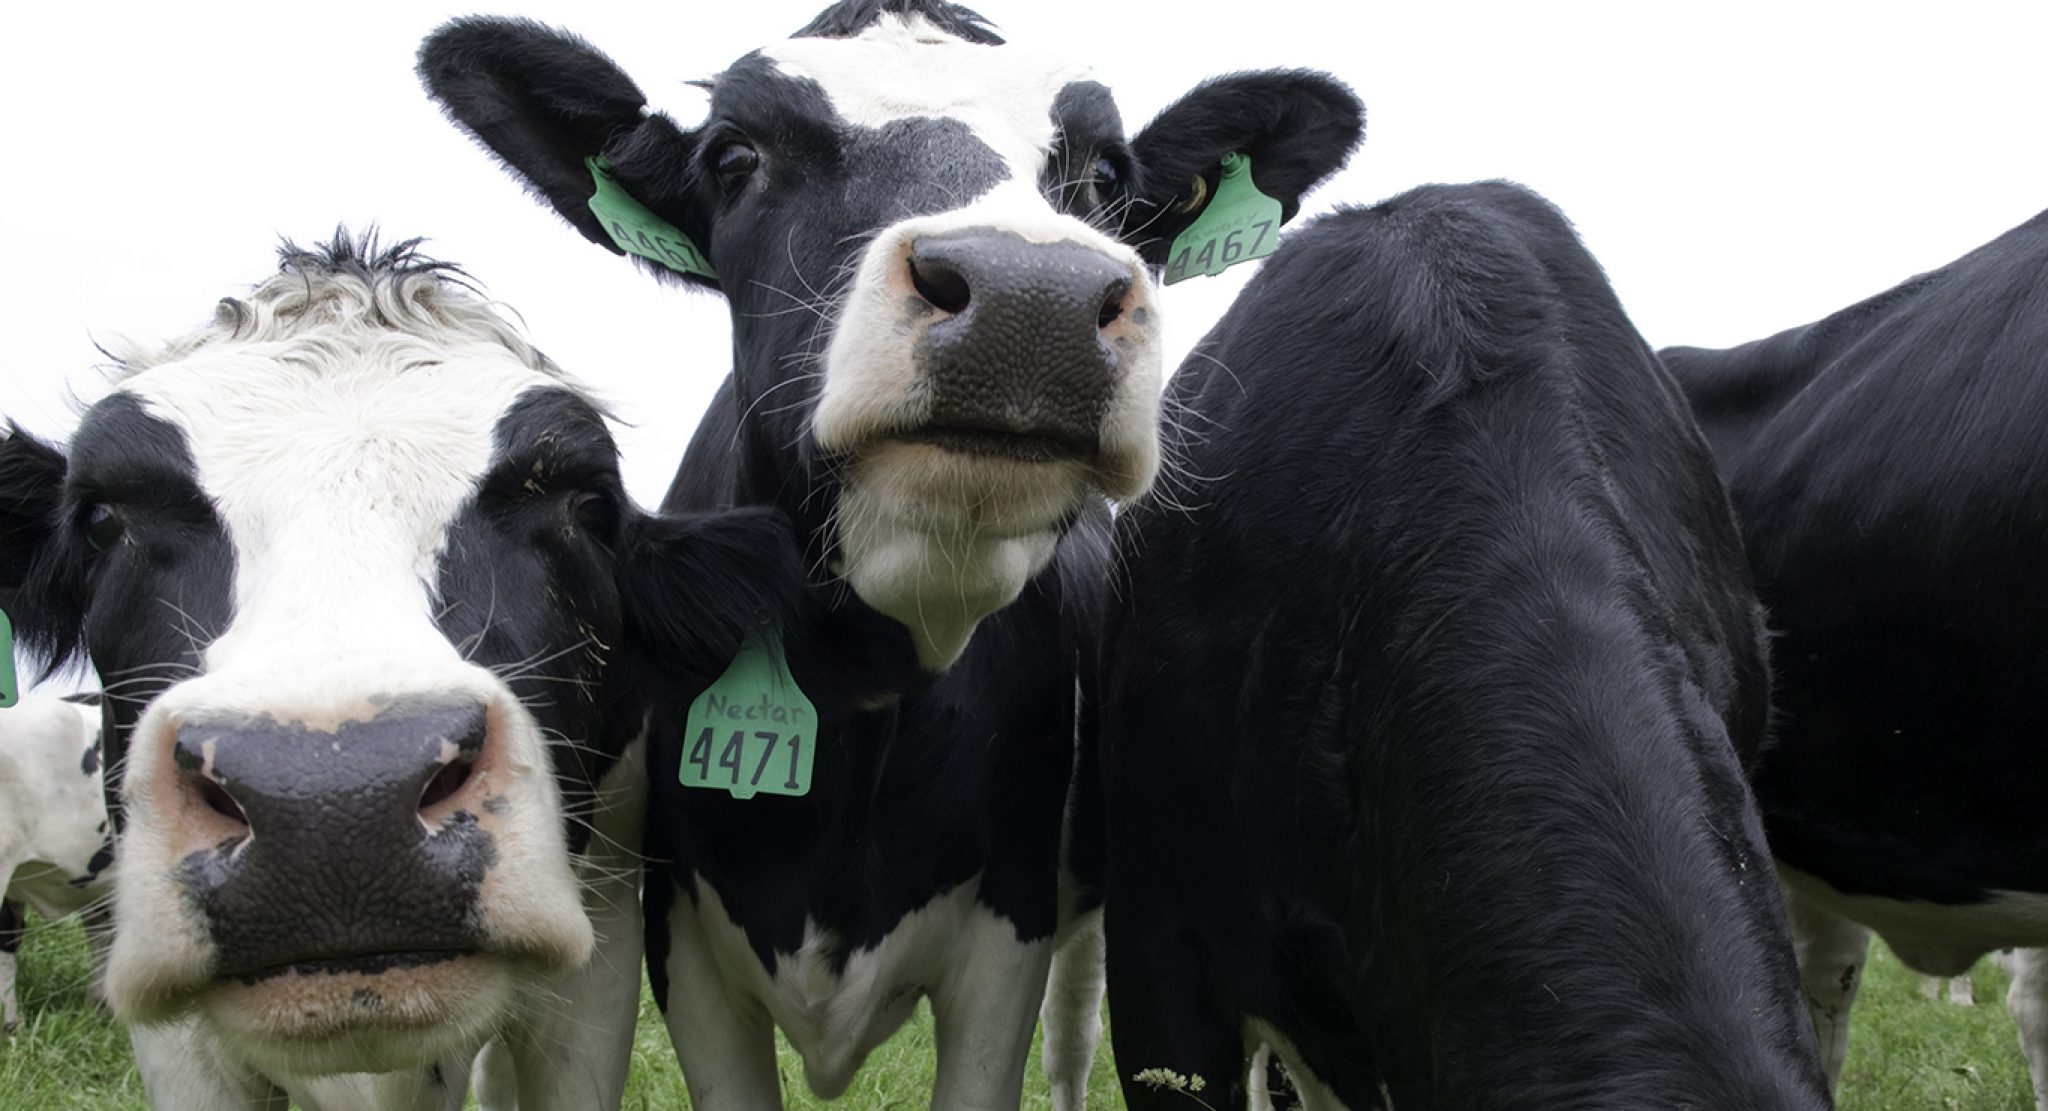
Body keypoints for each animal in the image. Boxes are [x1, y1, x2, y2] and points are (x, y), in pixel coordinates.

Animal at [415, 4, 1359, 1106]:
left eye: (1103, 177)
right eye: (734, 156)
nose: (1030, 293)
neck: (864, 679)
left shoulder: (1008, 935)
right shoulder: (683, 944)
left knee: (1075, 1033)